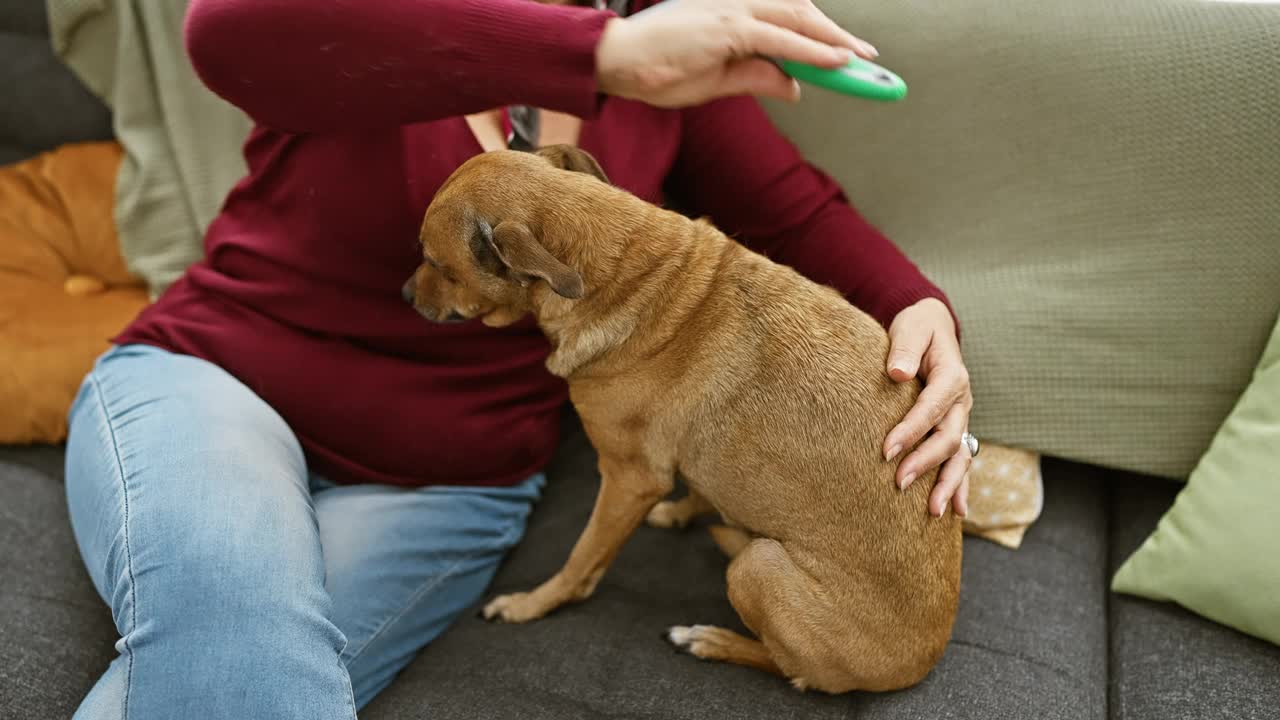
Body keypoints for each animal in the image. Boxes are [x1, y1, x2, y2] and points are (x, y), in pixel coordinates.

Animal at [407, 144, 962, 691]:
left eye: (437, 264)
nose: (406, 295)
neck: (625, 274)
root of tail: (921, 664)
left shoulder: (626, 479)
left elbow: (580, 560)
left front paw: (529, 606)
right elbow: (696, 484)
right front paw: (679, 511)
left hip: (756, 569)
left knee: (794, 673)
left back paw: (710, 640)